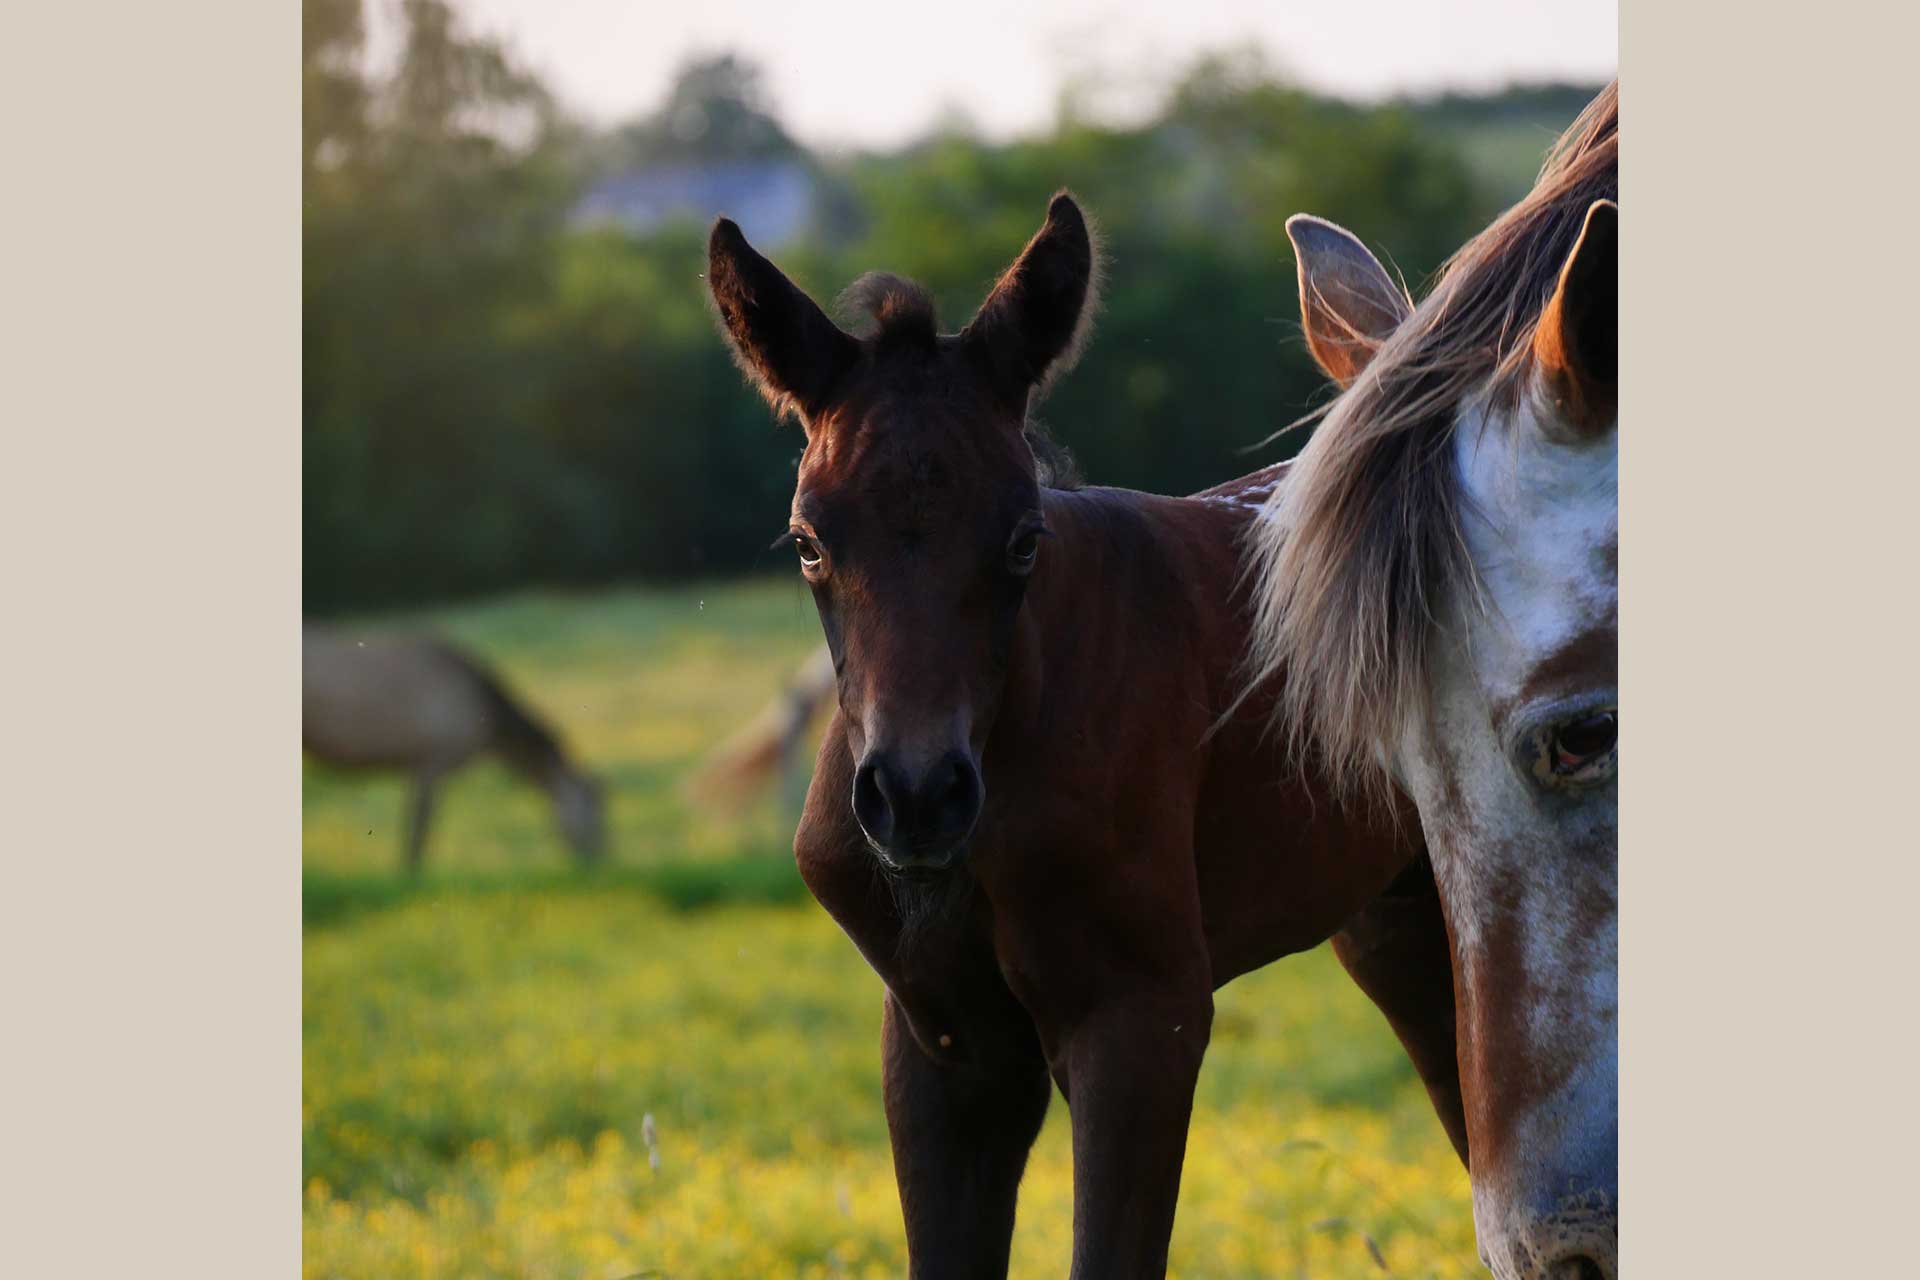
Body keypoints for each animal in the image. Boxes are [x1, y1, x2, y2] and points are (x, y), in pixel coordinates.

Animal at [303, 625, 602, 875]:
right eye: (595, 810)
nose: (601, 860)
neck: (488, 717)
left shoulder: (417, 767)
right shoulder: (433, 763)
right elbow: (420, 829)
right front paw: (410, 875)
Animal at [710, 192, 1466, 1280]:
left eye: (1025, 536)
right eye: (808, 541)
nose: (917, 796)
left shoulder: (1141, 1015)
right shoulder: (947, 1042)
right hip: (1399, 927)